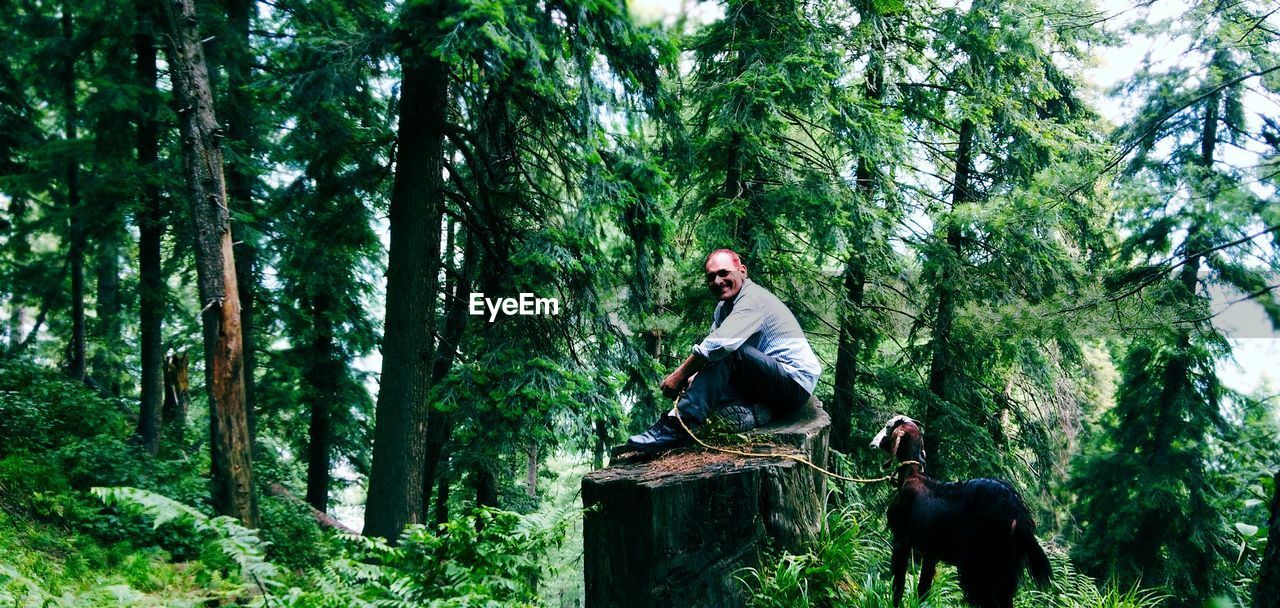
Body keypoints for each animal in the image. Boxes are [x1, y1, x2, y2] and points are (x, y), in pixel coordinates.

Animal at [870, 417, 1049, 606]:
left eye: (888, 427)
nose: (872, 443)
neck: (911, 476)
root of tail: (1017, 510)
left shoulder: (901, 540)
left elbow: (898, 584)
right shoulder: (931, 552)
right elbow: (923, 589)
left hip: (980, 564)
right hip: (1005, 568)